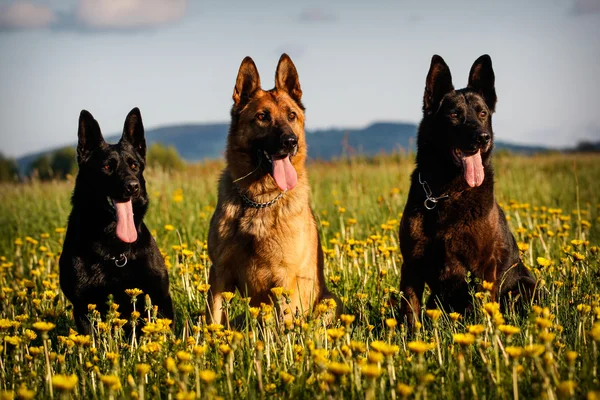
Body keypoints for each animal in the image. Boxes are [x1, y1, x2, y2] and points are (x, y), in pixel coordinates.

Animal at [59, 107, 173, 334]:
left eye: (134, 165)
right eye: (106, 167)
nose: (133, 186)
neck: (114, 250)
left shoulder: (160, 298)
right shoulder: (82, 307)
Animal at [398, 55, 536, 324]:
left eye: (482, 113)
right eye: (454, 114)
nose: (482, 137)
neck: (445, 193)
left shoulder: (484, 266)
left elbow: (483, 311)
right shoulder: (411, 266)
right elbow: (411, 316)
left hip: (524, 285)